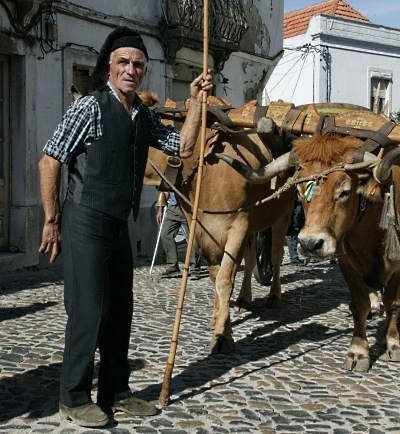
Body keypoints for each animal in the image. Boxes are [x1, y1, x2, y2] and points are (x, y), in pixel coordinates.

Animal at [215, 132, 400, 370]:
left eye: (345, 192)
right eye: (299, 192)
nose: (310, 244)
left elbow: (393, 304)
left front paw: (392, 343)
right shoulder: (347, 262)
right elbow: (360, 304)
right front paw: (358, 351)